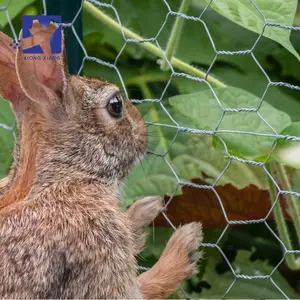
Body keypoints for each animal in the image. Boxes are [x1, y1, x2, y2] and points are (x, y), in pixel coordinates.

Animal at [0, 23, 204, 298]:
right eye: (116, 105)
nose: (143, 133)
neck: (64, 176)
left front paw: (145, 209)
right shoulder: (99, 247)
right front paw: (185, 244)